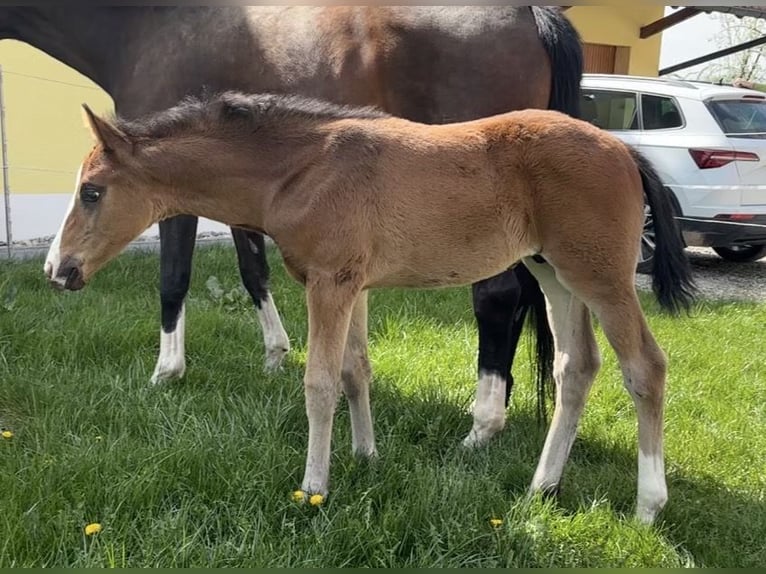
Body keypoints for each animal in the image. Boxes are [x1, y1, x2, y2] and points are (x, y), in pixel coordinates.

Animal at [4, 7, 580, 419]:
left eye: (92, 193)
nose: (56, 270)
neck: (145, 28)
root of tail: (532, 13)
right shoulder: (239, 193)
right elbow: (253, 268)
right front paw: (275, 354)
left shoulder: (176, 197)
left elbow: (174, 278)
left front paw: (166, 372)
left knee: (497, 295)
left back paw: (482, 421)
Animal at [46, 92, 696, 524]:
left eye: (92, 191)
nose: (57, 270)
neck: (301, 169)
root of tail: (625, 150)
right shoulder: (354, 285)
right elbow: (357, 370)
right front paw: (365, 457)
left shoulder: (329, 282)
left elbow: (319, 381)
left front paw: (314, 487)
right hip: (554, 275)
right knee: (576, 368)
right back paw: (541, 487)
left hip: (601, 278)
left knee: (645, 368)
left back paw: (647, 505)